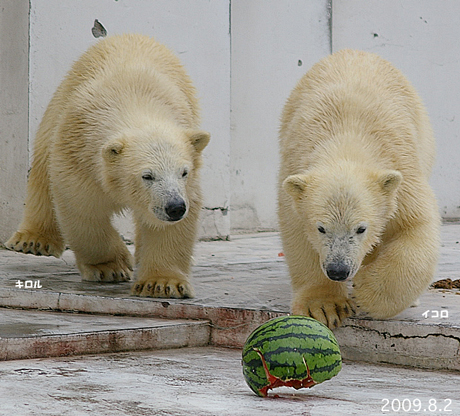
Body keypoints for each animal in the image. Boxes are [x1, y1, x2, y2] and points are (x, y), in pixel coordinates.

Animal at [4, 34, 210, 298]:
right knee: (42, 165)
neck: (133, 101)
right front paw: (110, 267)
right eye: (147, 176)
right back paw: (33, 240)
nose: (175, 207)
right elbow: (83, 208)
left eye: (184, 172)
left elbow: (167, 227)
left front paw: (162, 284)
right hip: (59, 103)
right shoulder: (81, 151)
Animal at [278, 49, 440, 328]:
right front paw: (324, 306)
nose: (338, 270)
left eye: (361, 228)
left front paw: (367, 292)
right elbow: (297, 233)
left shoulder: (402, 174)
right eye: (321, 228)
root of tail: (355, 51)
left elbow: (416, 225)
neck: (347, 138)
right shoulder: (294, 169)